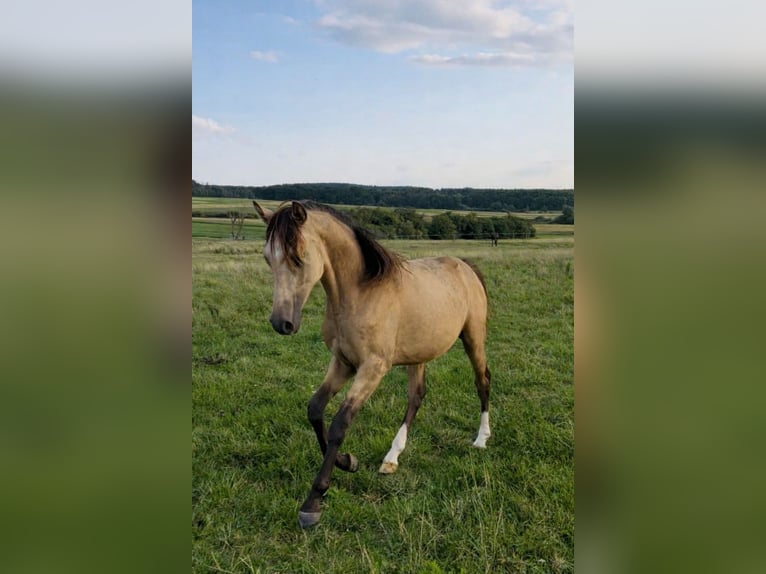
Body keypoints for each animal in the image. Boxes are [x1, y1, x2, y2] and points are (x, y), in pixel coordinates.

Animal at [253, 200, 492, 528]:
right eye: (267, 258)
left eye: (299, 257)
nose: (282, 323)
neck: (361, 293)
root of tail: (465, 267)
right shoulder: (343, 363)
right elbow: (315, 409)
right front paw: (347, 462)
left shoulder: (372, 369)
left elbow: (340, 422)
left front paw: (314, 501)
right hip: (418, 355)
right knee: (416, 397)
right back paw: (392, 458)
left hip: (473, 338)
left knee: (482, 381)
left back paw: (481, 439)